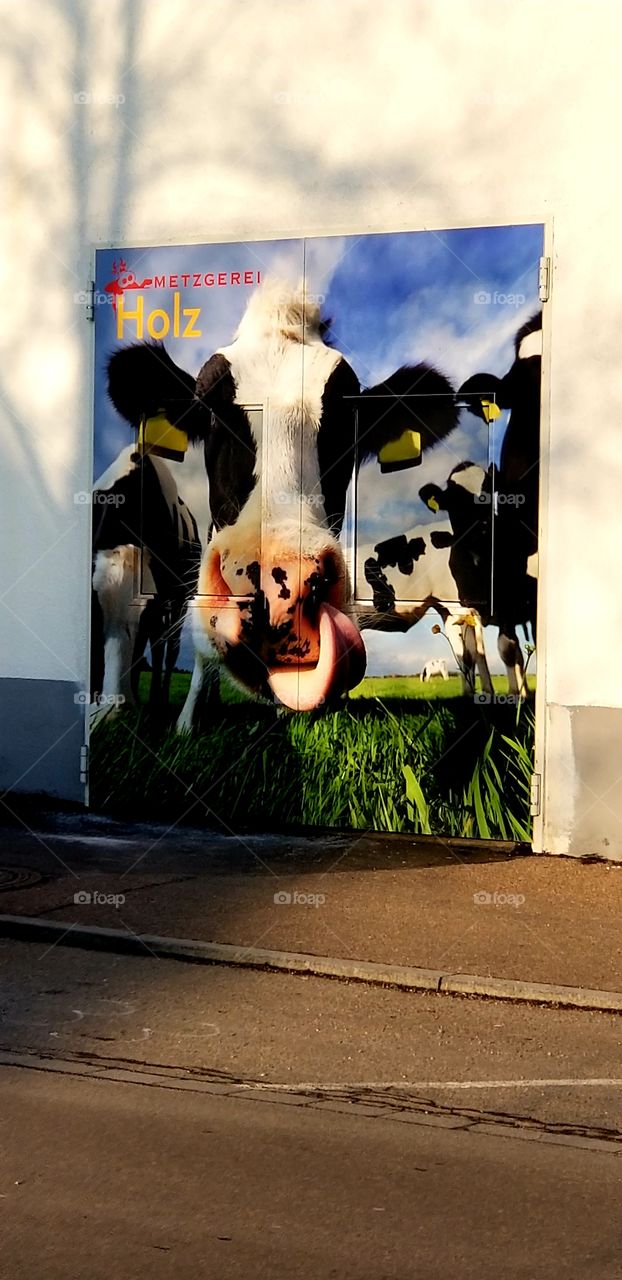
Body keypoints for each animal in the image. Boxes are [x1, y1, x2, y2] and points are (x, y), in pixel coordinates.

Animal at [91, 446, 202, 720]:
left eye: (139, 619)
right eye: (95, 610)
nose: (115, 712)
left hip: (180, 599)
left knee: (169, 649)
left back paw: (157, 700)